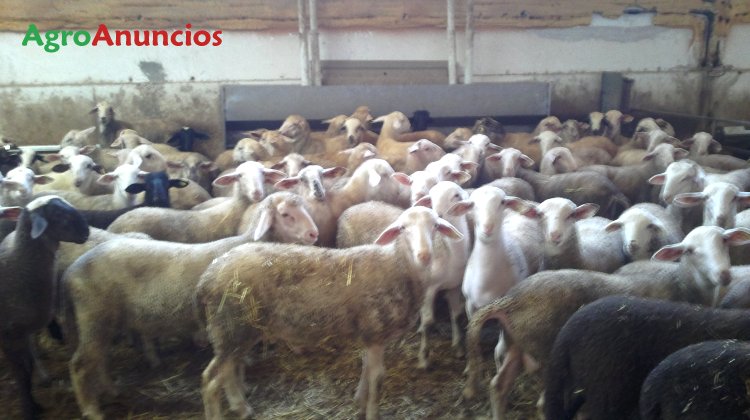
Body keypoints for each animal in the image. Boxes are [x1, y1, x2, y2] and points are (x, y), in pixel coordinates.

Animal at [0, 196, 89, 419]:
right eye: (57, 214)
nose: (86, 232)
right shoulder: (8, 334)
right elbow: (21, 373)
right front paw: (28, 409)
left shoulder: (22, 333)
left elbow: (29, 367)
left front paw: (36, 404)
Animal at [65, 191, 318, 420]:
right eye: (285, 214)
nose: (314, 234)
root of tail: (72, 271)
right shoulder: (228, 325)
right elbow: (231, 367)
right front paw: (239, 402)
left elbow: (234, 365)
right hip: (93, 316)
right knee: (80, 365)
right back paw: (91, 410)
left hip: (104, 320)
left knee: (99, 358)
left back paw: (110, 390)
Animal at [196, 205, 463, 420]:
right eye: (403, 228)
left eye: (435, 226)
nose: (424, 255)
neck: (399, 265)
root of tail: (208, 275)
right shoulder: (375, 333)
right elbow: (377, 378)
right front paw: (372, 411)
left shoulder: (368, 335)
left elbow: (366, 369)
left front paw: (359, 401)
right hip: (232, 328)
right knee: (211, 380)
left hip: (236, 331)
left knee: (226, 372)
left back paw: (241, 407)